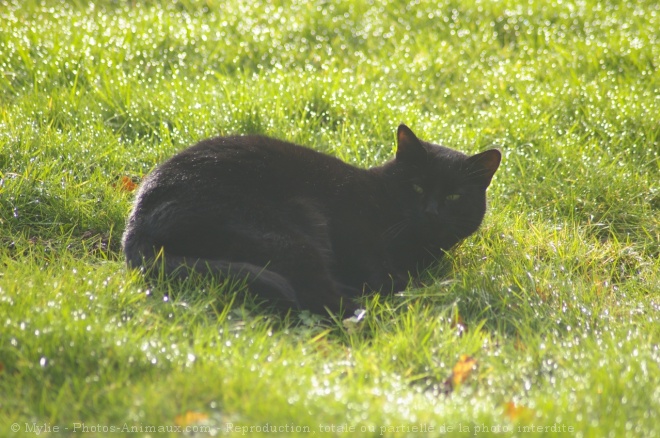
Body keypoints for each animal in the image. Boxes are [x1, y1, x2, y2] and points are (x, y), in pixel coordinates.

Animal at [121, 125, 500, 314]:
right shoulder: (357, 234)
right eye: (417, 187)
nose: (431, 211)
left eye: (454, 197)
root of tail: (136, 222)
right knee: (320, 296)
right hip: (291, 232)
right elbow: (388, 276)